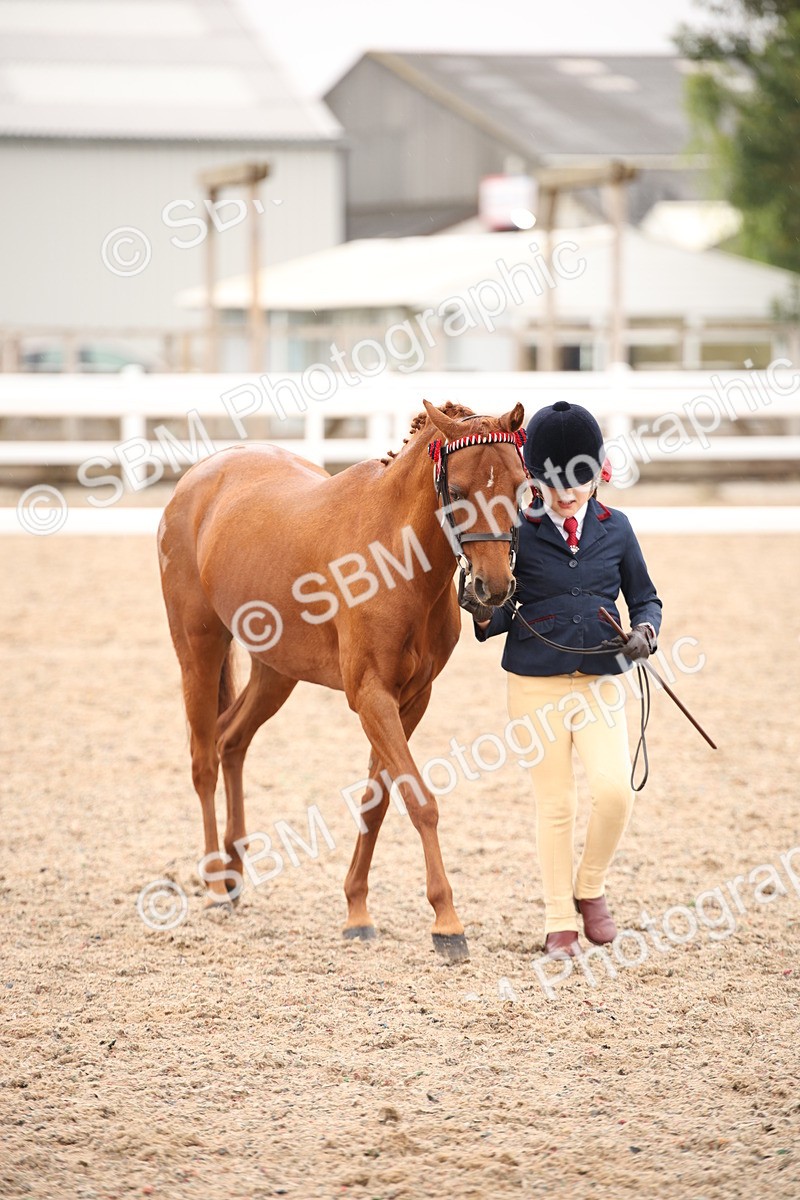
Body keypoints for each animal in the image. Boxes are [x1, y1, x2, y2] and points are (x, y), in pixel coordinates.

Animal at [157, 398, 527, 961]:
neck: (394, 559)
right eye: (459, 491)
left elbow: (377, 802)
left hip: (275, 672)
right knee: (203, 760)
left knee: (231, 741)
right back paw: (217, 884)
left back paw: (236, 870)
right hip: (198, 648)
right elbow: (420, 800)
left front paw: (356, 911)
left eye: (523, 486)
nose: (494, 587)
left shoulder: (410, 700)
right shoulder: (371, 697)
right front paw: (447, 923)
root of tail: (198, 478)